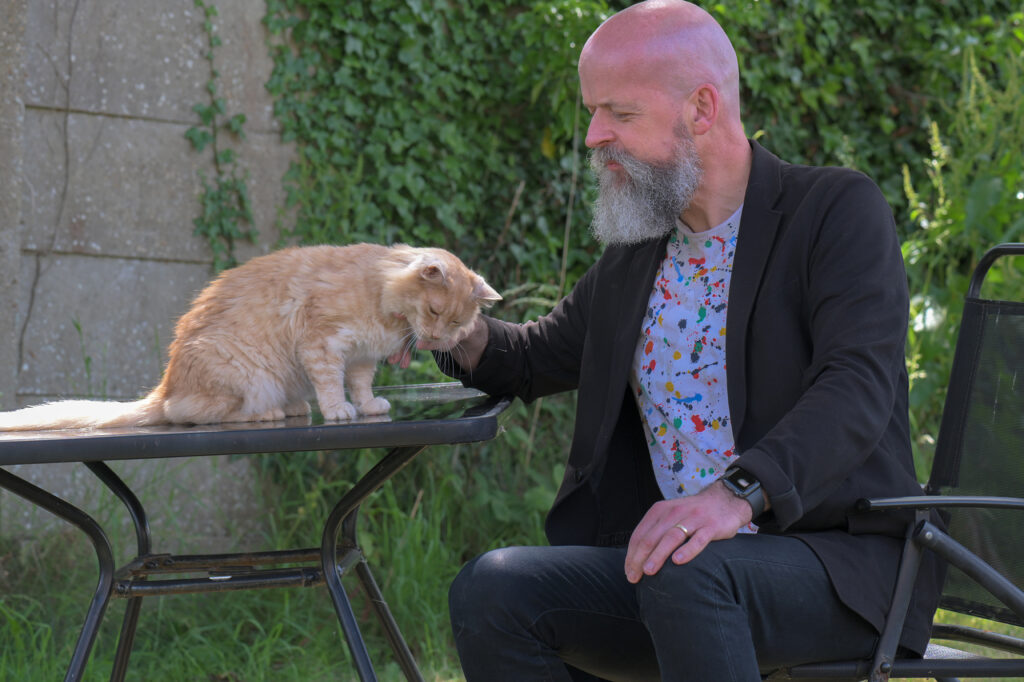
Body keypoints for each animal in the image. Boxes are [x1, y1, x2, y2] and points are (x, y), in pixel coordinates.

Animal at [0, 241, 499, 428]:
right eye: (434, 311)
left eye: (456, 324)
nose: (436, 339)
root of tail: (165, 386)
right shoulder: (323, 346)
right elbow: (331, 386)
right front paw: (339, 411)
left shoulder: (359, 359)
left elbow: (359, 385)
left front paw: (368, 405)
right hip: (240, 372)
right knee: (195, 414)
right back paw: (268, 413)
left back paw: (292, 407)